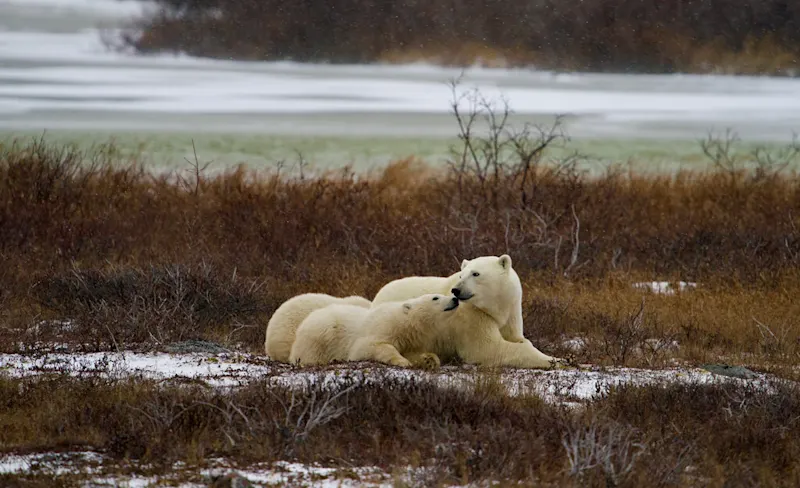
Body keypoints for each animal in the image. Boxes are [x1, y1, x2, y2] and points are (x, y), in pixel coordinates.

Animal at [288, 293, 459, 369]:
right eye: (435, 297)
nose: (455, 299)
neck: (403, 324)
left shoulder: (411, 340)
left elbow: (413, 352)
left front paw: (430, 359)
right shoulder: (381, 327)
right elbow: (370, 347)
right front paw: (401, 361)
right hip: (320, 336)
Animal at [371, 254, 526, 344]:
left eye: (476, 273)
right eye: (461, 275)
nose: (456, 290)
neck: (498, 306)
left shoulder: (512, 309)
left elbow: (514, 336)